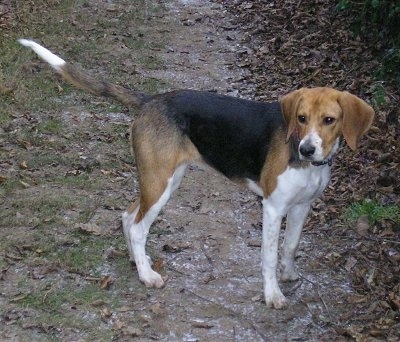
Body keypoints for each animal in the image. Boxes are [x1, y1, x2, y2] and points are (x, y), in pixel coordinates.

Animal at [19, 38, 376, 308]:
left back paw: (138, 261)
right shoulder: (273, 208)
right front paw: (273, 294)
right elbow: (270, 256)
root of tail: (150, 100)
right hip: (160, 183)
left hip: (163, 179)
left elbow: (290, 246)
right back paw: (148, 276)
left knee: (127, 216)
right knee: (137, 227)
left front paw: (289, 274)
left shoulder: (302, 206)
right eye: (301, 118)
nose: (306, 149)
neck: (310, 165)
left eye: (329, 120)